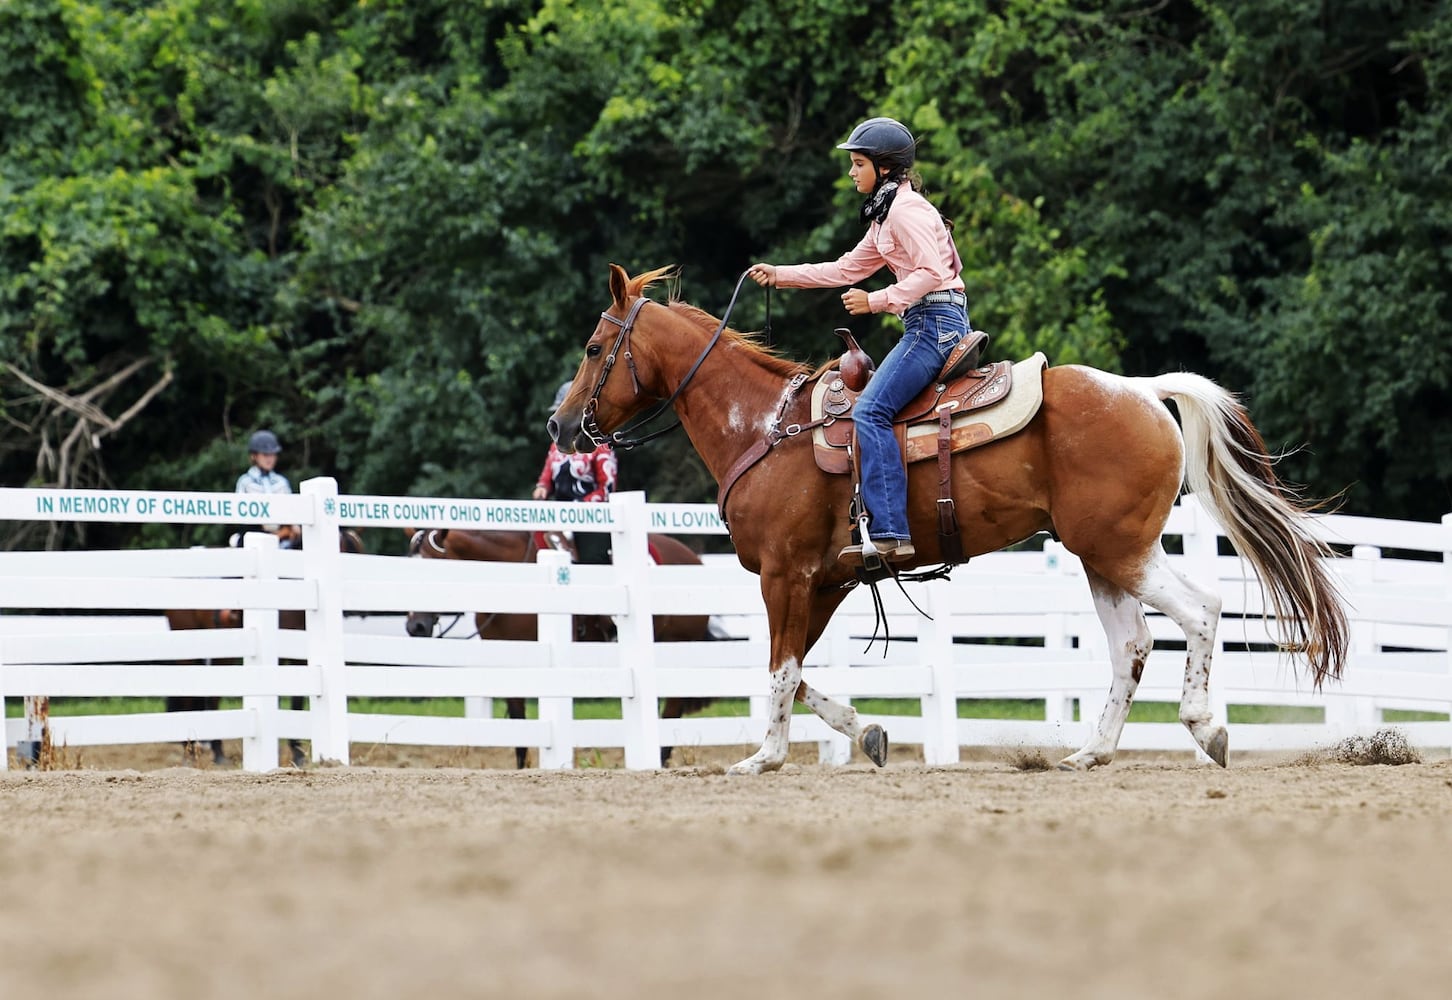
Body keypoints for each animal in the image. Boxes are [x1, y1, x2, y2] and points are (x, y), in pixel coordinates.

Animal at [164, 522, 363, 766]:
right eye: (345, 551)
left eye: (358, 552)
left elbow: (296, 701)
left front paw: (296, 752)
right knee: (189, 696)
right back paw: (194, 753)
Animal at [545, 262, 1347, 772]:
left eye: (593, 346)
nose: (560, 424)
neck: (766, 428)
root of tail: (1144, 391)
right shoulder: (825, 581)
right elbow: (794, 670)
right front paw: (867, 732)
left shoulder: (785, 575)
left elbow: (778, 670)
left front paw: (763, 757)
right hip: (1103, 558)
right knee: (1132, 645)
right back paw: (1092, 752)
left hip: (1122, 550)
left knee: (1201, 611)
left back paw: (1205, 728)